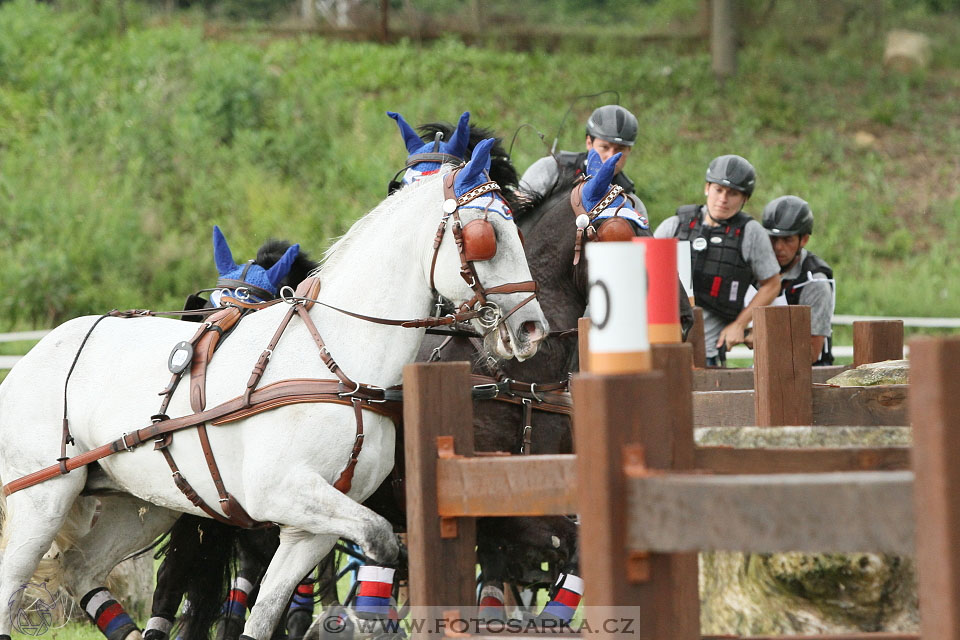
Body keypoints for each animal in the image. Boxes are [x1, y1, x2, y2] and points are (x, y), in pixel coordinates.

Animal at [0, 144, 544, 640]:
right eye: (487, 236)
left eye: (518, 229)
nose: (533, 328)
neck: (338, 365)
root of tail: (35, 354)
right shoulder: (279, 493)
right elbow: (383, 541)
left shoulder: (310, 529)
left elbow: (264, 617)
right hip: (42, 497)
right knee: (12, 588)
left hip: (141, 505)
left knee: (80, 568)